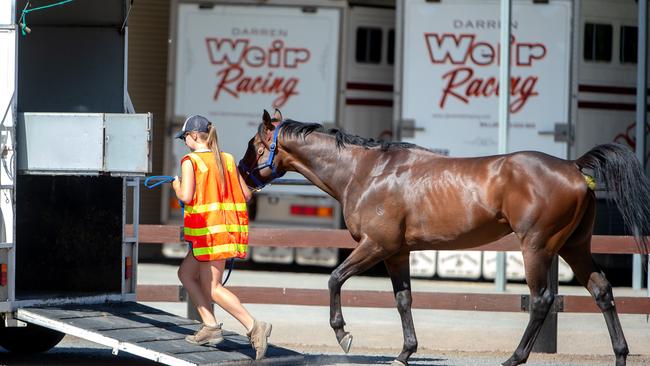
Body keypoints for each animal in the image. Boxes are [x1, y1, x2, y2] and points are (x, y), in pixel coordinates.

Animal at [238, 108, 648, 366]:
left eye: (257, 146)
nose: (241, 173)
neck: (365, 171)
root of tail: (574, 167)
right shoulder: (397, 253)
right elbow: (403, 300)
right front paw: (405, 353)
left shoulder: (376, 246)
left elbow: (335, 279)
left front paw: (343, 335)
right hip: (574, 246)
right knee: (601, 291)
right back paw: (620, 355)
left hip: (538, 246)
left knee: (542, 300)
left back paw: (514, 358)